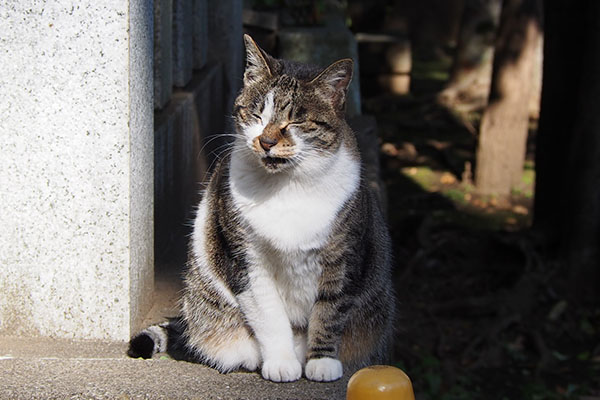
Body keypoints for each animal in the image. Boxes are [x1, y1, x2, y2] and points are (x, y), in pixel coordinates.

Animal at [129, 35, 396, 384]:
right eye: (256, 115)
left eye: (296, 120)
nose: (266, 142)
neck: (286, 186)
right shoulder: (245, 259)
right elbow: (268, 315)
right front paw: (281, 362)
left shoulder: (344, 257)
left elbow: (330, 310)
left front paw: (322, 362)